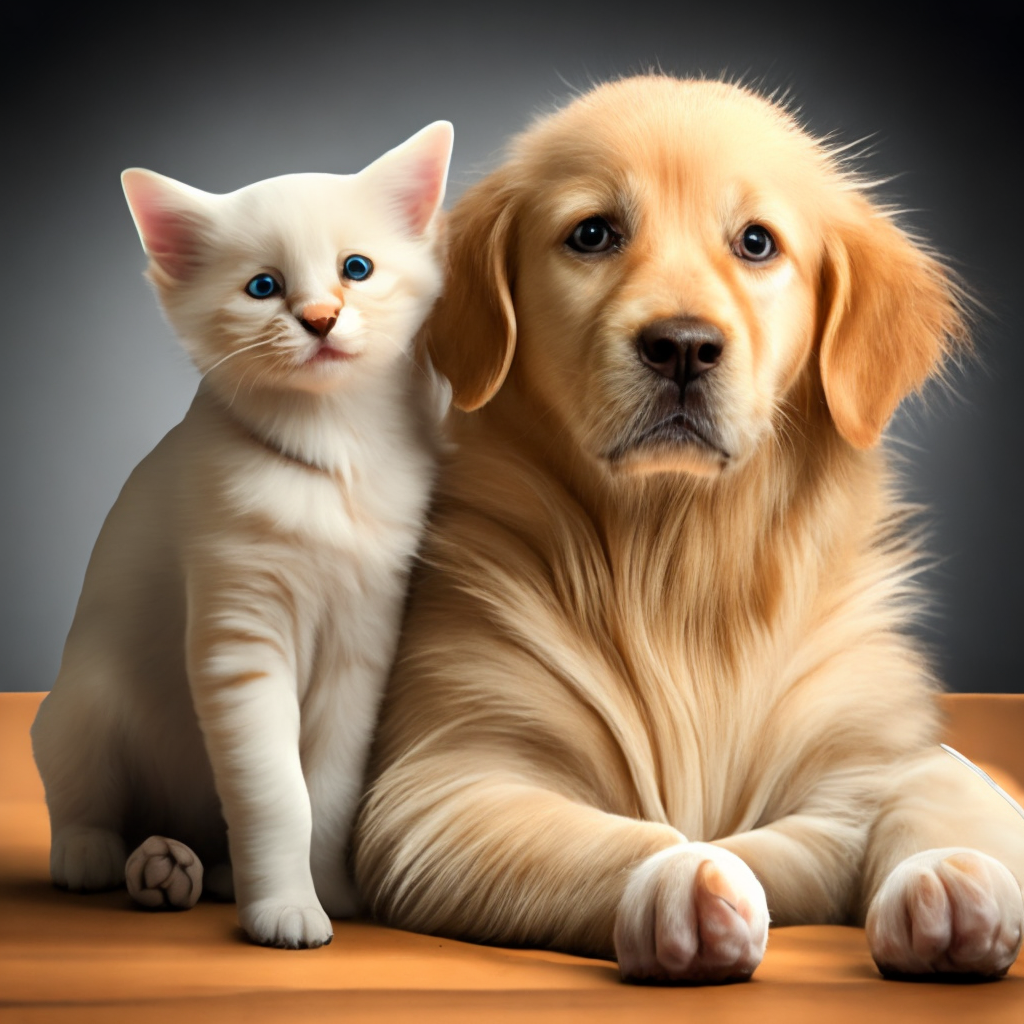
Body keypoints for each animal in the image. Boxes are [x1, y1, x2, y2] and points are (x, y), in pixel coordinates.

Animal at [30, 121, 452, 950]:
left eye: (356, 269)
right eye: (263, 287)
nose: (319, 317)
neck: (330, 454)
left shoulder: (362, 651)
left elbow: (327, 792)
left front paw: (328, 892)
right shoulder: (242, 641)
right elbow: (278, 795)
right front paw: (284, 909)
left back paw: (189, 870)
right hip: (82, 705)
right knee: (86, 797)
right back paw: (103, 857)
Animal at [352, 72, 1024, 983]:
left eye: (756, 243)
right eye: (593, 233)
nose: (682, 346)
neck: (680, 563)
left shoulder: (889, 748)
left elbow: (927, 795)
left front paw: (947, 880)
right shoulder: (441, 787)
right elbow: (633, 839)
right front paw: (686, 878)